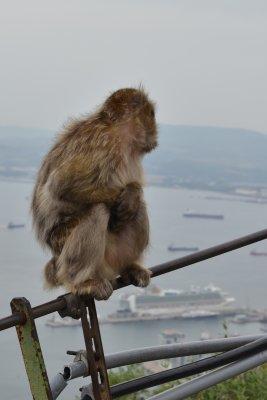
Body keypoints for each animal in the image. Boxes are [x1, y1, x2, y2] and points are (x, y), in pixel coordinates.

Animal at [31, 87, 158, 300]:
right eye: (151, 114)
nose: (156, 133)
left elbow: (132, 189)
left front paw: (133, 192)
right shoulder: (106, 146)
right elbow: (62, 186)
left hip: (111, 254)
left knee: (137, 208)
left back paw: (129, 266)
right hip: (63, 242)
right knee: (98, 210)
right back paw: (81, 281)